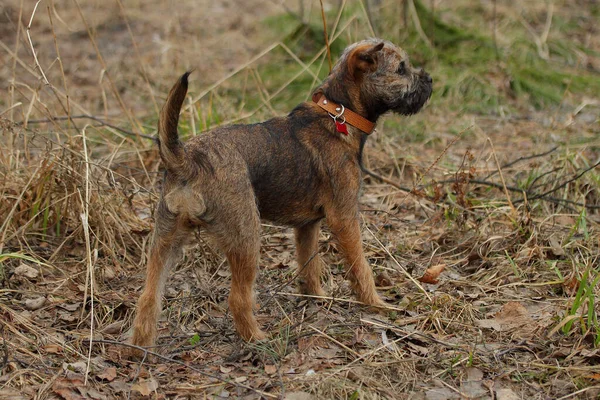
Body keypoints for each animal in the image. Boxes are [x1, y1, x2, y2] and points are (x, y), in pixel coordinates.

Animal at [131, 38, 432, 350]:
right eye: (401, 68)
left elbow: (309, 265)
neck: (339, 113)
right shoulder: (345, 218)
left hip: (165, 239)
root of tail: (189, 159)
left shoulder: (307, 227)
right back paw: (257, 339)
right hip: (246, 237)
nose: (430, 80)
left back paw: (140, 347)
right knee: (238, 298)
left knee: (148, 297)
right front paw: (376, 305)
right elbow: (360, 268)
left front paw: (317, 298)